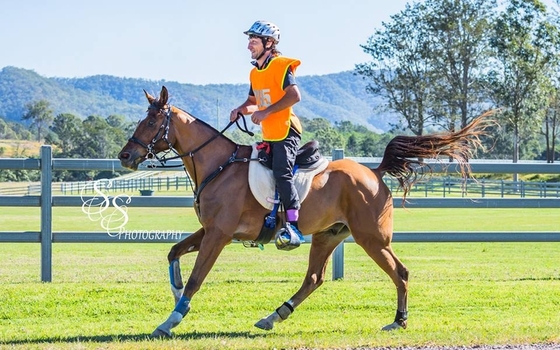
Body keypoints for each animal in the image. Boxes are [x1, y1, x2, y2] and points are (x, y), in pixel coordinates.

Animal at [117, 85, 490, 336]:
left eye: (151, 122)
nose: (125, 156)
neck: (218, 166)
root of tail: (374, 172)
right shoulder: (209, 230)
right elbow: (174, 252)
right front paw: (176, 291)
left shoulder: (218, 235)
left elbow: (197, 278)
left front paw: (170, 320)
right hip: (328, 236)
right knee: (314, 278)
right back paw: (273, 316)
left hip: (372, 238)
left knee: (400, 272)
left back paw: (398, 321)